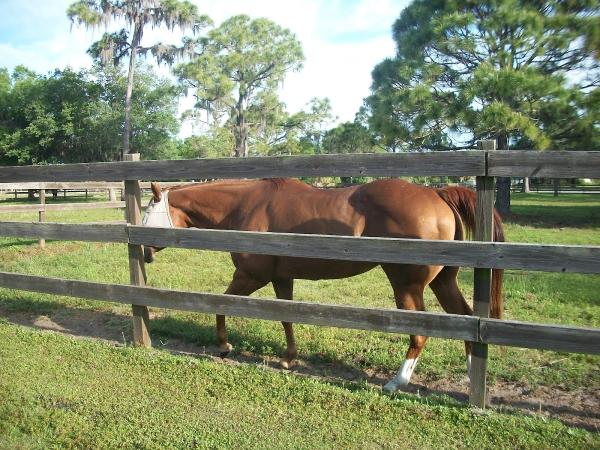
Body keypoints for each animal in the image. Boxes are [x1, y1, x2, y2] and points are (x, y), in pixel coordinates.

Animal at [141, 178, 502, 392]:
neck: (246, 206)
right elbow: (286, 317)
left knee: (420, 333)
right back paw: (473, 377)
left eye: (146, 215)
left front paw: (224, 345)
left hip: (407, 286)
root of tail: (436, 194)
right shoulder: (281, 278)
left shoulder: (250, 276)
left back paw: (395, 382)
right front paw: (289, 358)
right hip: (443, 282)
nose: (143, 251)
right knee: (465, 321)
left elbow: (221, 303)